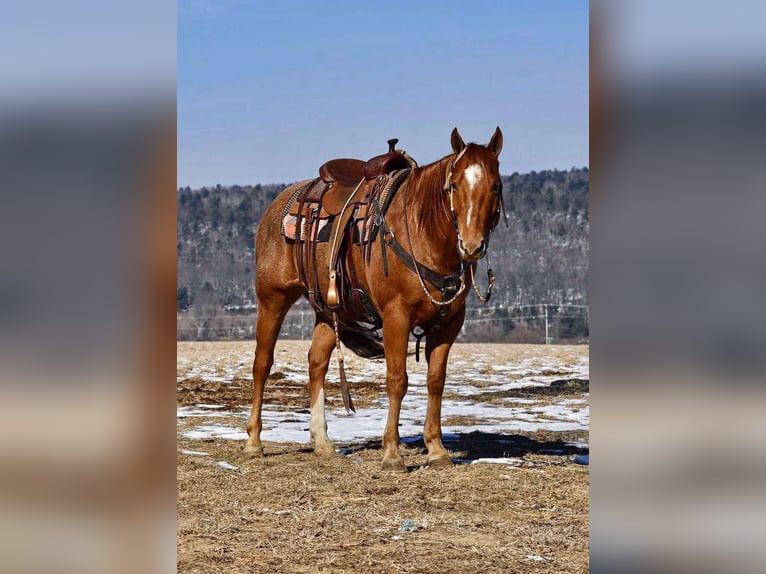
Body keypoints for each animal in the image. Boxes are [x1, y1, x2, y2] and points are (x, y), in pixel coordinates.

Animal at [246, 127, 508, 472]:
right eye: (453, 185)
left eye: (496, 185)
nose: (472, 245)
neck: (424, 232)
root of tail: (279, 204)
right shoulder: (397, 316)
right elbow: (397, 379)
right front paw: (392, 454)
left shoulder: (449, 322)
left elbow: (435, 380)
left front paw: (437, 450)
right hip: (272, 298)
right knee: (262, 363)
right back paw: (254, 442)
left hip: (328, 310)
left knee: (317, 362)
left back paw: (322, 442)